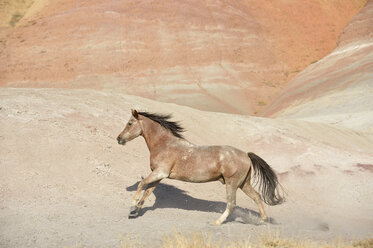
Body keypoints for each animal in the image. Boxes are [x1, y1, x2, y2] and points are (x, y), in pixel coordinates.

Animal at [117, 109, 284, 226]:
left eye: (130, 123)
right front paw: (135, 212)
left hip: (232, 184)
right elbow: (147, 191)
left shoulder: (159, 172)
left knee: (231, 204)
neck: (164, 144)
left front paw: (132, 207)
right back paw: (262, 220)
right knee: (256, 196)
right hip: (244, 184)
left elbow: (141, 185)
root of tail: (246, 155)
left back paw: (217, 222)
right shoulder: (159, 176)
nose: (119, 139)